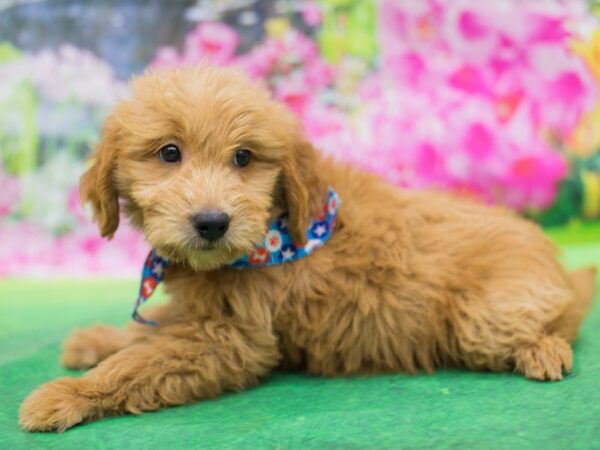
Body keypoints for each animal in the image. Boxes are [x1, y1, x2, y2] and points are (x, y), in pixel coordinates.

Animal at [18, 65, 596, 430]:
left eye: (244, 157)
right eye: (168, 153)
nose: (212, 223)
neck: (270, 234)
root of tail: (553, 260)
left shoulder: (228, 339)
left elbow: (140, 362)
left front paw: (68, 394)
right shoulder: (201, 315)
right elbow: (145, 332)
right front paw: (95, 340)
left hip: (484, 316)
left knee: (561, 320)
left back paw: (543, 350)